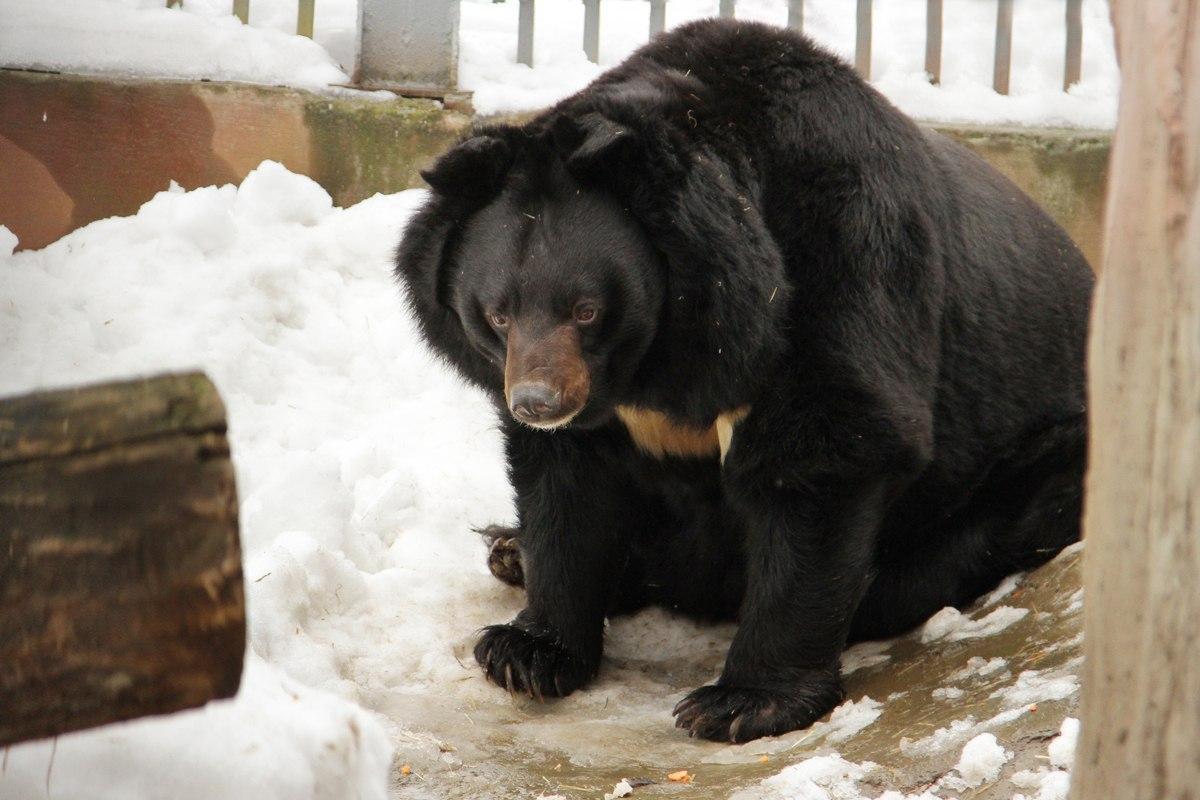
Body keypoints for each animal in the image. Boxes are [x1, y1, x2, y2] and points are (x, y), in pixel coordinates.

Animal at [396, 18, 1099, 743]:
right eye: (497, 313)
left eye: (586, 310)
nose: (538, 402)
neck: (656, 363)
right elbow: (566, 485)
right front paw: (527, 651)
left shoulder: (839, 267)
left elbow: (829, 453)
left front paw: (739, 703)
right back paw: (512, 549)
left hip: (1045, 455)